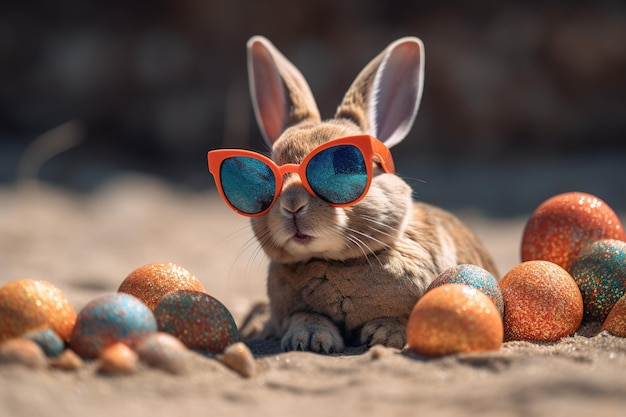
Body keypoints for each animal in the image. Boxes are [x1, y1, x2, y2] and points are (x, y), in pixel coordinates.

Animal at [232, 36, 500, 354]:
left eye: (345, 168)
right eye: (266, 177)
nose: (292, 204)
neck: (333, 261)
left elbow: (400, 318)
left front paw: (384, 336)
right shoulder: (292, 312)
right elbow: (306, 317)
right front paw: (309, 340)